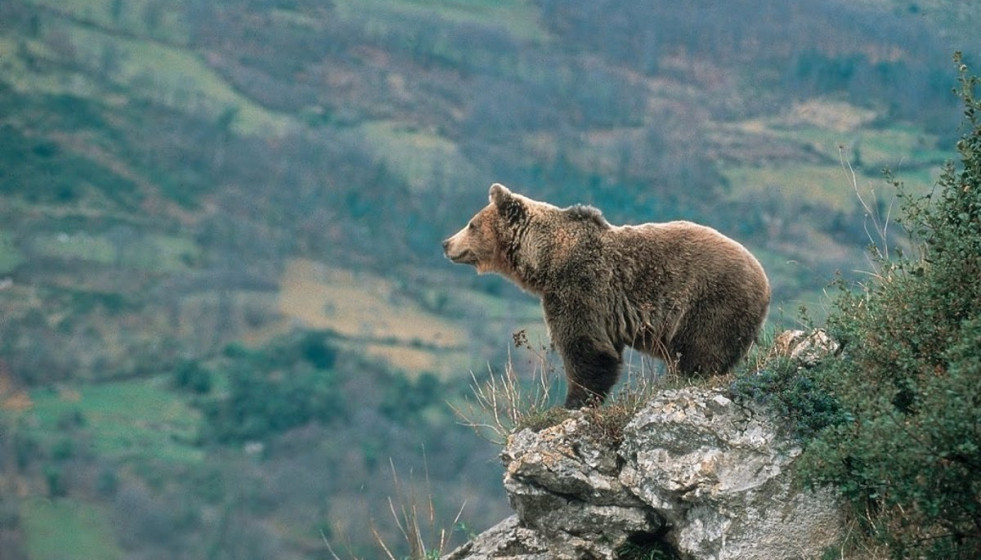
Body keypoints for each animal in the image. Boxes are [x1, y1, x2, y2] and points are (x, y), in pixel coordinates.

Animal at [444, 186, 772, 410]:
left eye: (471, 224)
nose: (446, 243)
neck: (545, 260)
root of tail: (765, 281)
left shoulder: (580, 286)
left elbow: (585, 347)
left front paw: (573, 403)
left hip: (711, 301)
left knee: (701, 352)